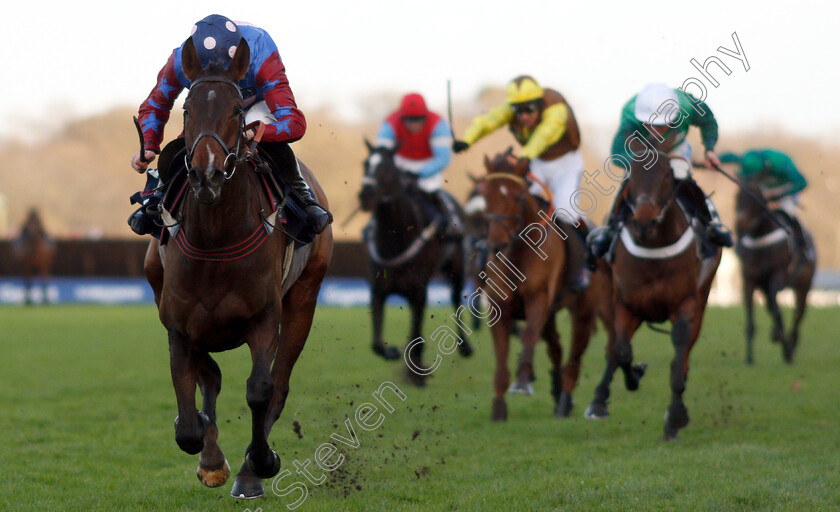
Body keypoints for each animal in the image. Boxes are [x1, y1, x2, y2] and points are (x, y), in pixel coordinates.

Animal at [141, 38, 332, 498]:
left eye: (234, 111)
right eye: (187, 110)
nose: (206, 174)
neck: (216, 240)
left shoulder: (263, 317)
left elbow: (261, 390)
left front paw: (260, 463)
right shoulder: (178, 323)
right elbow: (188, 418)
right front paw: (209, 459)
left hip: (305, 297)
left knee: (279, 384)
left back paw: (249, 471)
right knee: (209, 375)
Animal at [356, 142, 472, 386]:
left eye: (387, 169)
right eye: (365, 164)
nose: (365, 195)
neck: (396, 240)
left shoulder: (418, 290)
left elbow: (416, 334)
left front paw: (417, 374)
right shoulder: (378, 289)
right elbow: (377, 343)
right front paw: (392, 352)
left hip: (456, 269)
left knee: (456, 299)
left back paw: (465, 347)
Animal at [472, 151, 624, 420]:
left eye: (518, 196)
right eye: (486, 194)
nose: (496, 244)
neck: (518, 253)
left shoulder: (539, 299)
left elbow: (529, 335)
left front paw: (522, 382)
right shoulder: (499, 307)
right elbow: (501, 354)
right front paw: (499, 406)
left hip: (589, 309)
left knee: (578, 355)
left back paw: (566, 400)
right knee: (557, 348)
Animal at [584, 149, 720, 440]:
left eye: (667, 175)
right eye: (632, 176)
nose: (644, 222)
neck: (655, 248)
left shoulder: (686, 304)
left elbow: (679, 351)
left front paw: (676, 416)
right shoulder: (627, 304)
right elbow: (621, 351)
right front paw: (634, 376)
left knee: (686, 351)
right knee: (613, 347)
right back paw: (598, 401)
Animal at [736, 182, 812, 366]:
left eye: (754, 199)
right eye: (737, 198)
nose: (740, 224)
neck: (760, 236)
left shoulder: (779, 276)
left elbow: (778, 311)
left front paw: (786, 349)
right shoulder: (749, 281)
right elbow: (751, 321)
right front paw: (749, 359)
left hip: (803, 286)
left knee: (798, 316)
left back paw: (790, 346)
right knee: (774, 306)